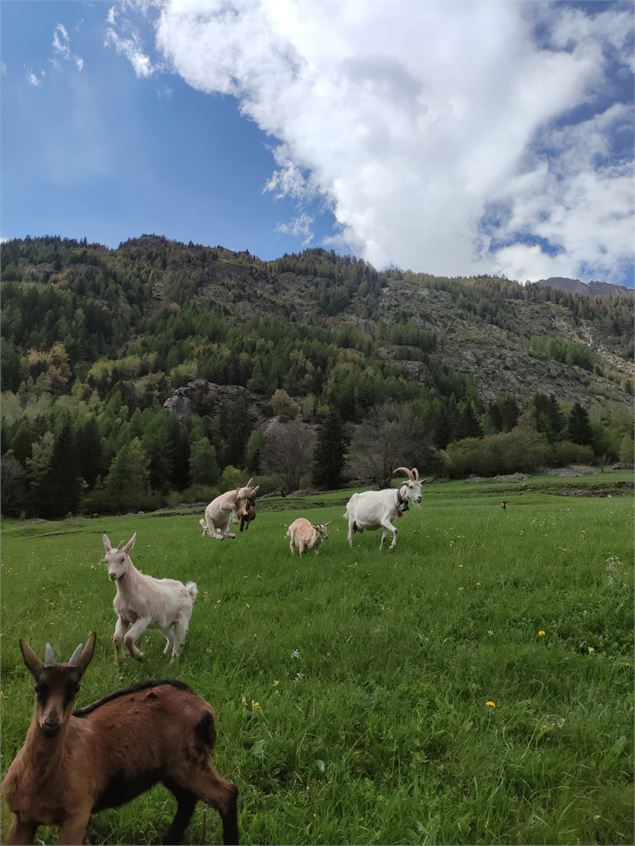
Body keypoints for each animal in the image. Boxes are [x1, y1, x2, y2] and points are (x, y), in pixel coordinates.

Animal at [1, 636, 240, 846]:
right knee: (187, 799)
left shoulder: (77, 815)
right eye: (38, 688)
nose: (51, 723)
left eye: (75, 688)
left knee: (227, 793)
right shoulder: (23, 818)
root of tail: (203, 706)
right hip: (170, 770)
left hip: (190, 762)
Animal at [103, 532, 198, 664]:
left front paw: (139, 655)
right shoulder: (123, 617)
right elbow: (116, 638)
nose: (112, 575)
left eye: (122, 559)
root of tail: (189, 592)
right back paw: (164, 654)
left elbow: (128, 638)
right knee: (171, 637)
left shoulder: (144, 616)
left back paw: (172, 662)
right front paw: (121, 661)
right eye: (106, 561)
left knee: (178, 641)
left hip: (182, 618)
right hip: (165, 622)